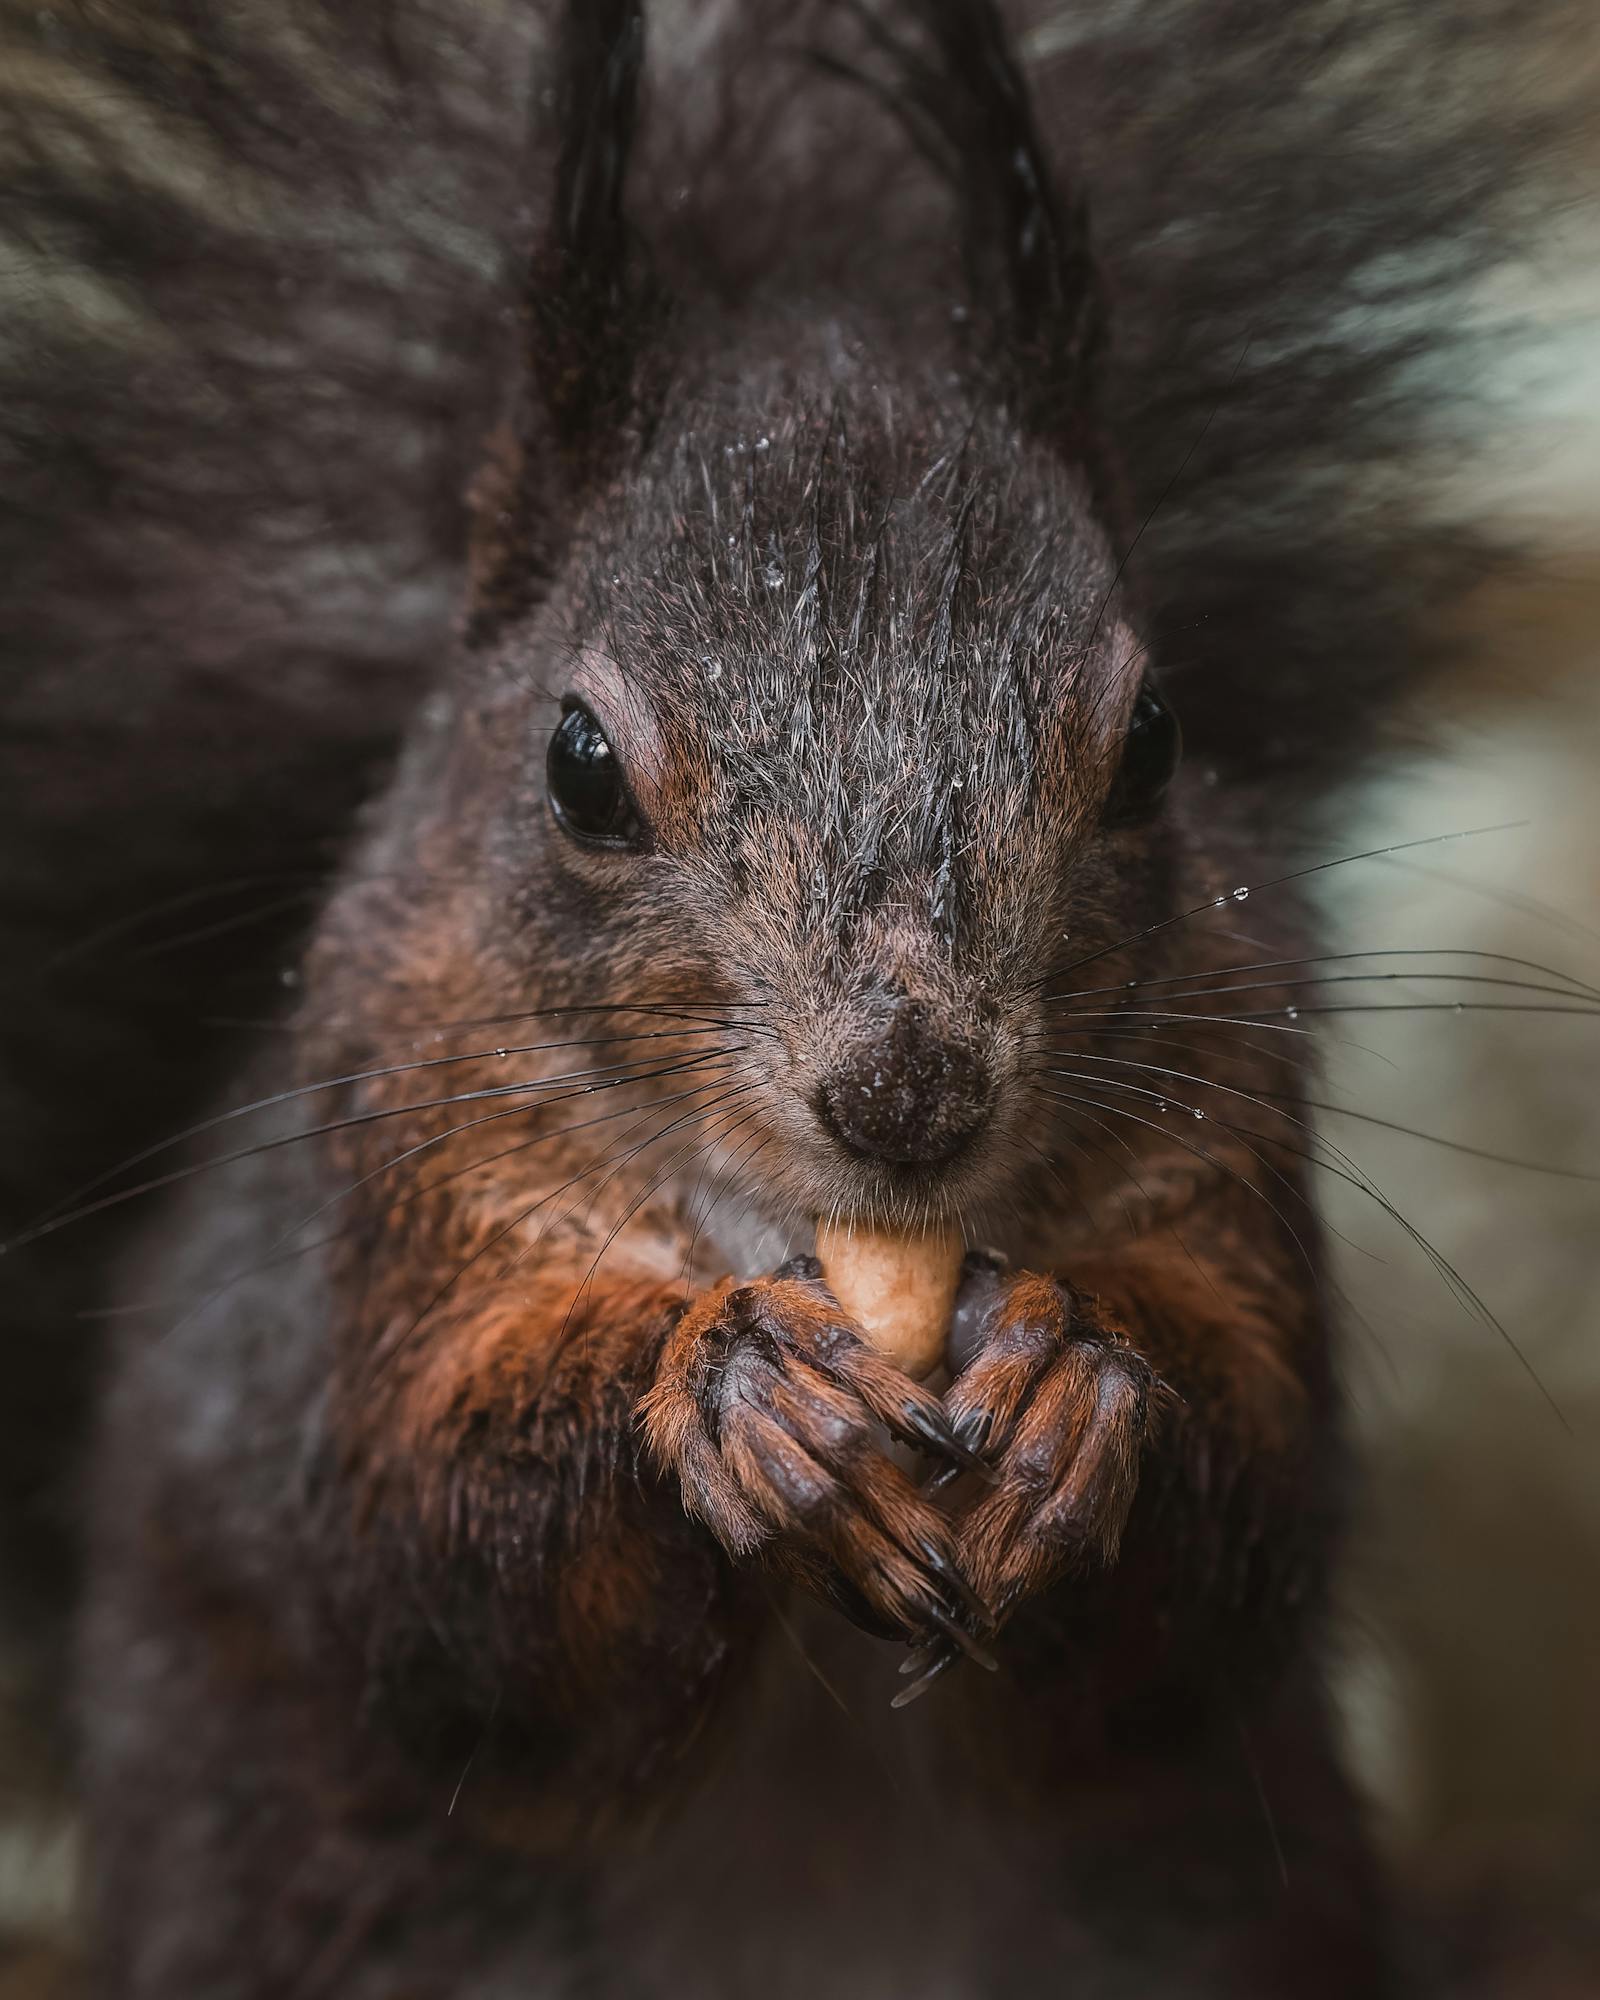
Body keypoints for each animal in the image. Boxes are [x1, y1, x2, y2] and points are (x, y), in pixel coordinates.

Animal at [0, 0, 1576, 1992]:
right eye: (579, 766)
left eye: (1153, 740)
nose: (907, 1095)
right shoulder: (386, 1197)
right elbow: (438, 1576)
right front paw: (728, 1385)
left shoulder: (1231, 1136)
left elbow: (1217, 1580)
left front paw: (1075, 1374)